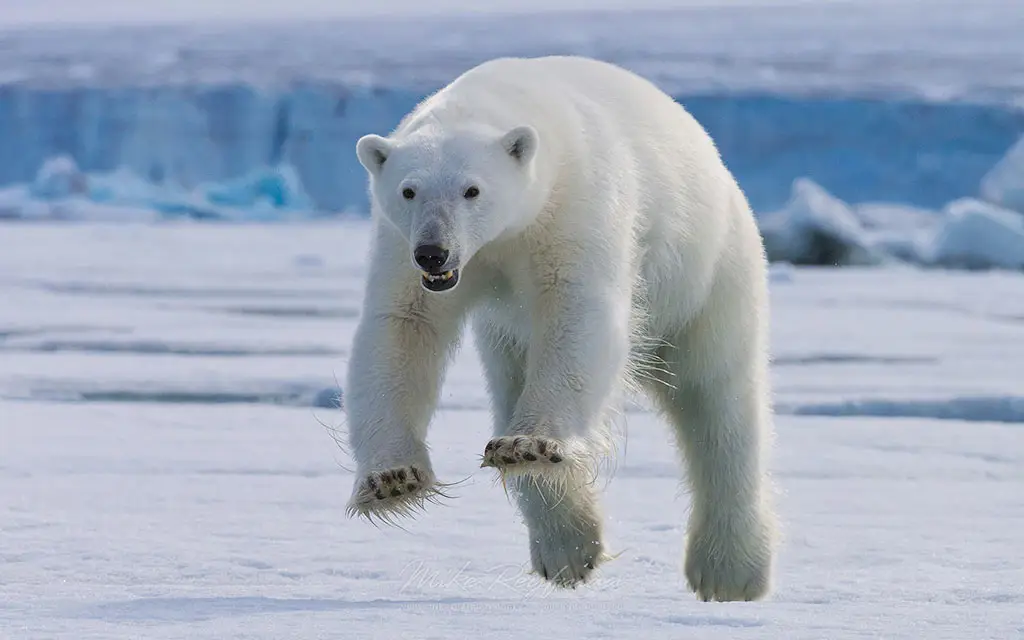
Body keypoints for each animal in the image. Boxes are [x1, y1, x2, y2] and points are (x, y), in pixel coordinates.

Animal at [342, 54, 774, 598]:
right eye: (408, 190)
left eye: (472, 189)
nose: (434, 252)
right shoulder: (402, 247)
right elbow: (402, 327)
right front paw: (392, 480)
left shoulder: (574, 208)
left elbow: (578, 313)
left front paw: (527, 444)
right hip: (505, 337)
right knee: (511, 381)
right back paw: (568, 548)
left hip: (708, 275)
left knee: (718, 400)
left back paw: (729, 572)